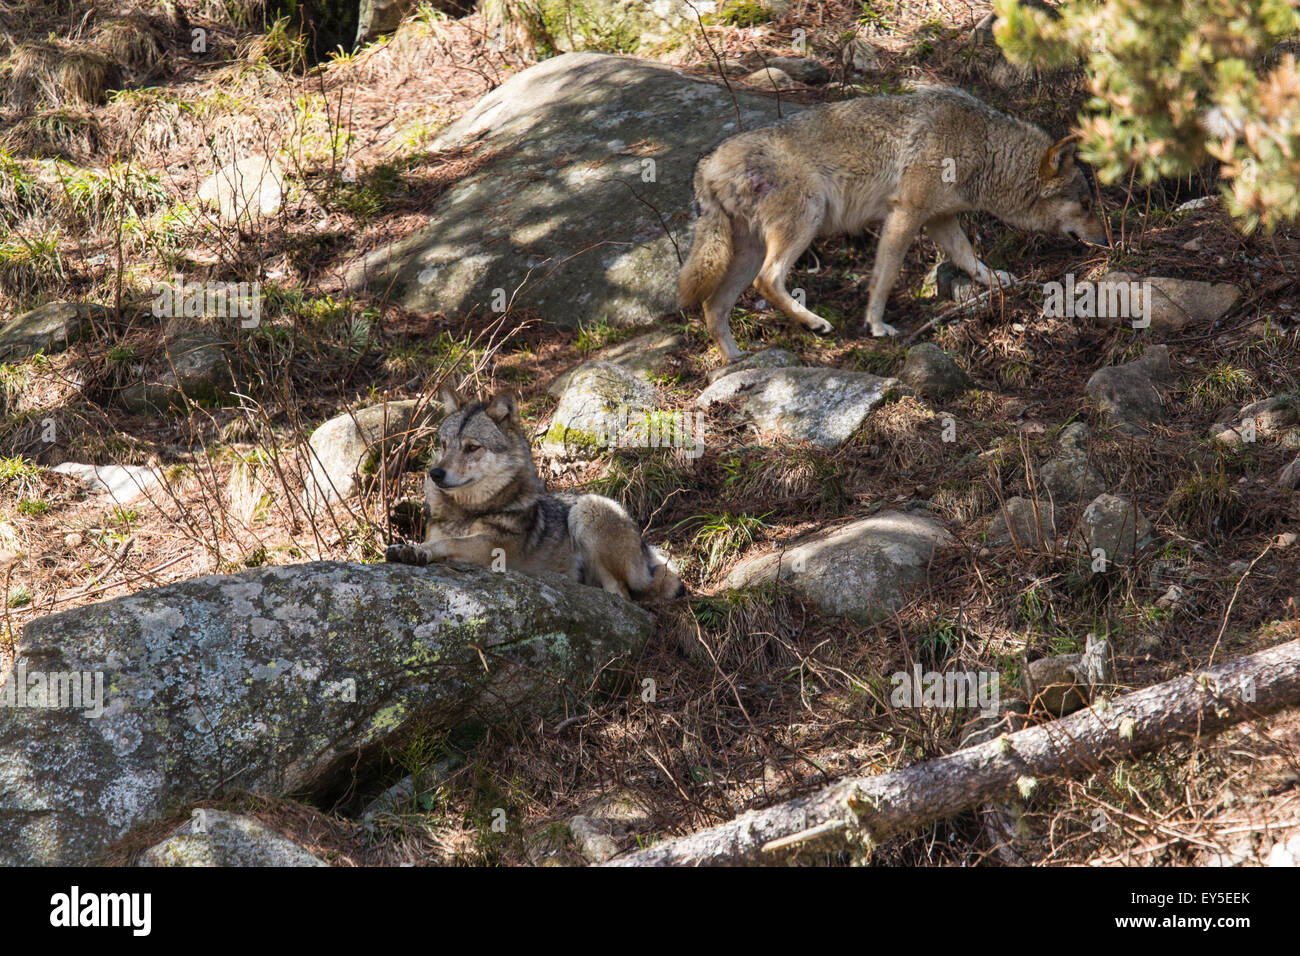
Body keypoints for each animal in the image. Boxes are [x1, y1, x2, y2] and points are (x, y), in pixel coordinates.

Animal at [385, 388, 684, 601]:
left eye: (472, 447)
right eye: (444, 445)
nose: (435, 473)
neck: (467, 512)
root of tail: (644, 545)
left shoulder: (492, 550)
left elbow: (449, 543)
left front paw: (417, 551)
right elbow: (438, 542)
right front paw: (410, 550)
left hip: (587, 510)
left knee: (623, 595)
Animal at [678, 86, 1107, 361]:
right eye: (1086, 204)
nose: (1106, 241)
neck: (983, 147)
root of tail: (706, 164)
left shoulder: (940, 219)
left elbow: (970, 258)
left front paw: (1000, 282)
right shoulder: (906, 214)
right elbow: (884, 277)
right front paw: (877, 325)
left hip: (748, 252)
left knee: (714, 307)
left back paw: (735, 361)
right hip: (803, 224)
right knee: (767, 281)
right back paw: (815, 324)